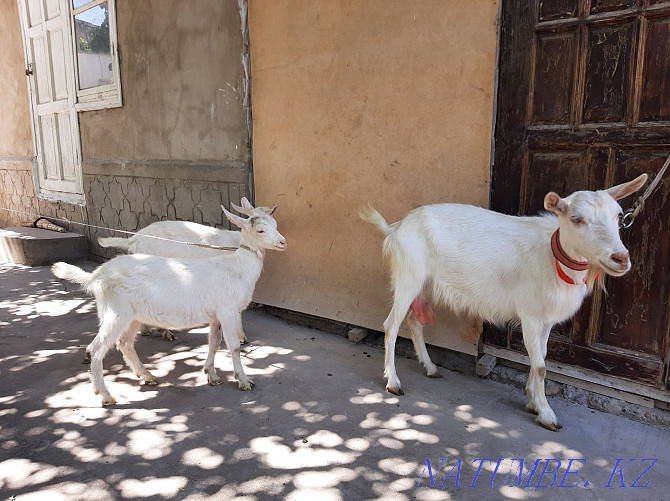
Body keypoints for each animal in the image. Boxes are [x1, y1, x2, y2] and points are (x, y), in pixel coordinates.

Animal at [50, 203, 286, 402]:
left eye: (275, 224)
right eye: (260, 230)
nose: (283, 242)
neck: (238, 267)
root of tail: (97, 275)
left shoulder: (216, 315)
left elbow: (214, 342)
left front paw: (211, 375)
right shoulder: (227, 311)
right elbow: (234, 347)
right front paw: (244, 381)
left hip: (132, 316)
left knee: (125, 344)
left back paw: (147, 376)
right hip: (116, 312)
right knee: (97, 349)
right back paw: (106, 395)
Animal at [362, 173, 652, 430]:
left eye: (618, 215)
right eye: (576, 219)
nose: (620, 258)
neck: (552, 257)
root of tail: (395, 228)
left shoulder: (546, 318)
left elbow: (541, 358)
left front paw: (533, 401)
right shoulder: (530, 315)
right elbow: (541, 366)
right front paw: (547, 415)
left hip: (427, 286)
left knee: (415, 322)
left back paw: (431, 367)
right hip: (408, 277)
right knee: (391, 325)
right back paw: (393, 382)